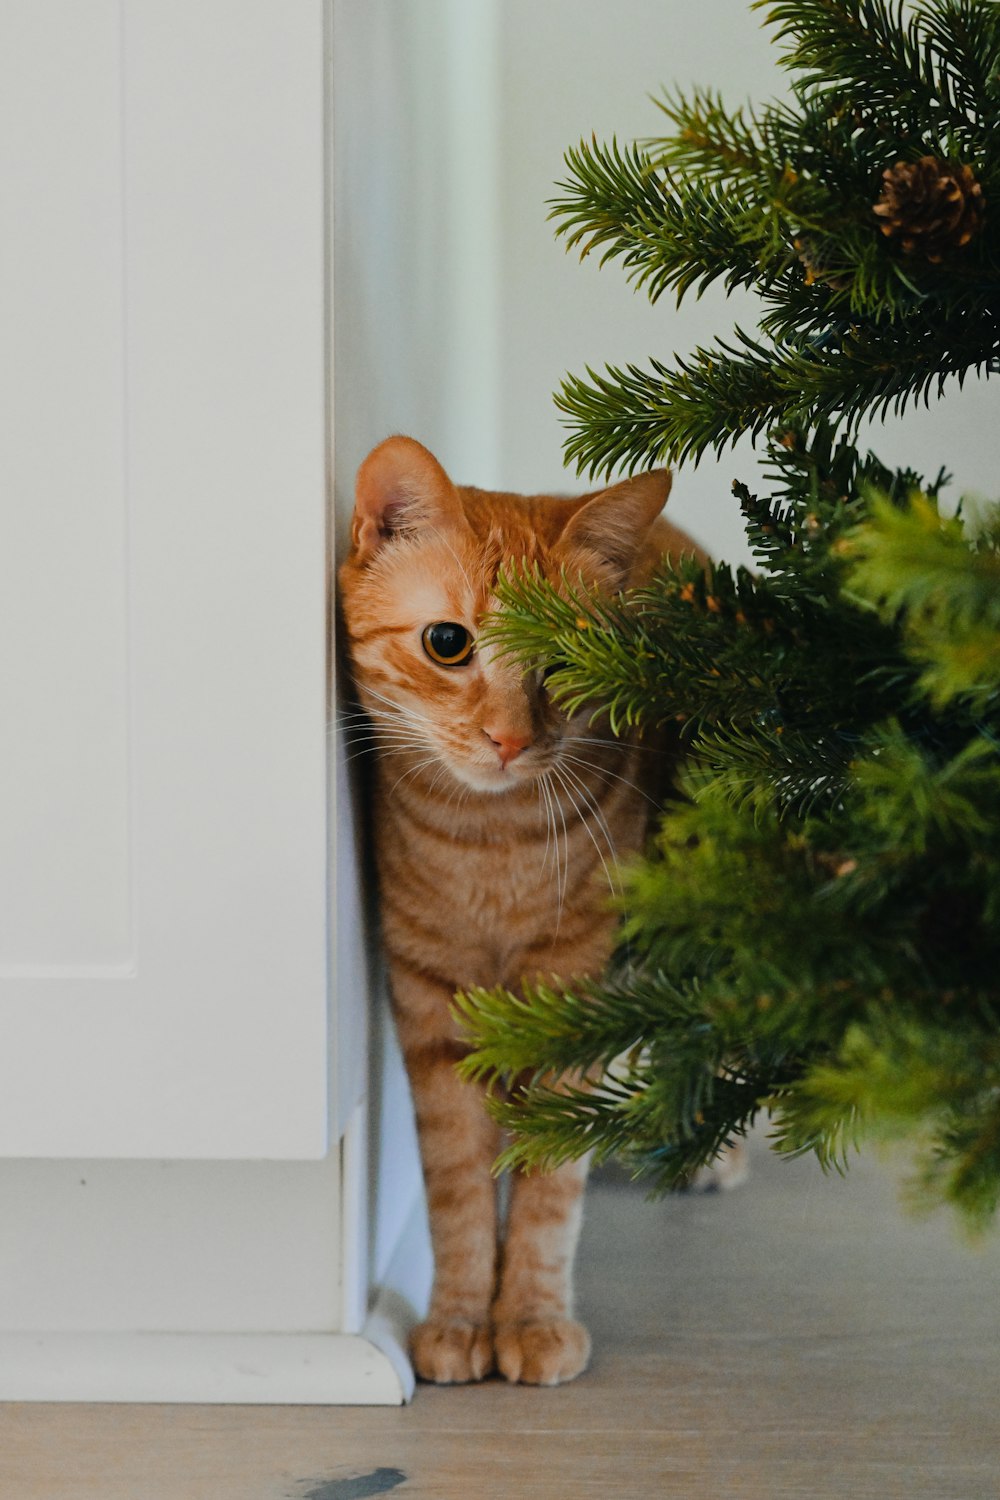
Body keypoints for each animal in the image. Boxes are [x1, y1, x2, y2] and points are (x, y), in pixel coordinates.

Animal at [335, 435, 704, 1380]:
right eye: (448, 643)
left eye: (566, 664)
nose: (507, 739)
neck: (489, 846)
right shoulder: (430, 1011)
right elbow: (459, 1186)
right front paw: (462, 1317)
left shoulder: (576, 999)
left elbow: (549, 1193)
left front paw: (532, 1317)